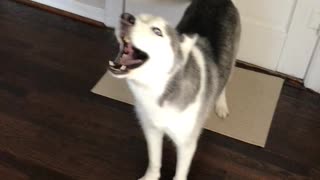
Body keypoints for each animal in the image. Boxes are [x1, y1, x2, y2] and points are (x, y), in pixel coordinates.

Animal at [107, 0, 240, 179]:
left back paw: (221, 105)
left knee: (224, 81)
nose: (126, 17)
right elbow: (154, 160)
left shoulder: (186, 144)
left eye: (157, 31)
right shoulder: (151, 129)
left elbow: (180, 172)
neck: (158, 89)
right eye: (138, 17)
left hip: (232, 59)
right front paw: (151, 176)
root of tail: (219, 1)